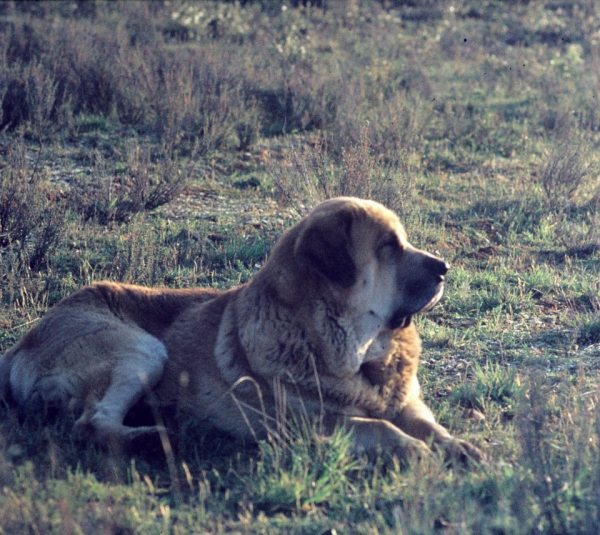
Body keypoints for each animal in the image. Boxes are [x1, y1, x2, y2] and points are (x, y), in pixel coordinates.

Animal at [0, 197, 480, 464]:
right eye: (387, 247)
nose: (444, 267)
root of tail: (20, 344)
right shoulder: (304, 423)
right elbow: (376, 426)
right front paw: (412, 449)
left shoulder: (408, 403)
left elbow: (426, 424)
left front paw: (457, 445)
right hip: (140, 350)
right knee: (91, 424)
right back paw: (156, 440)